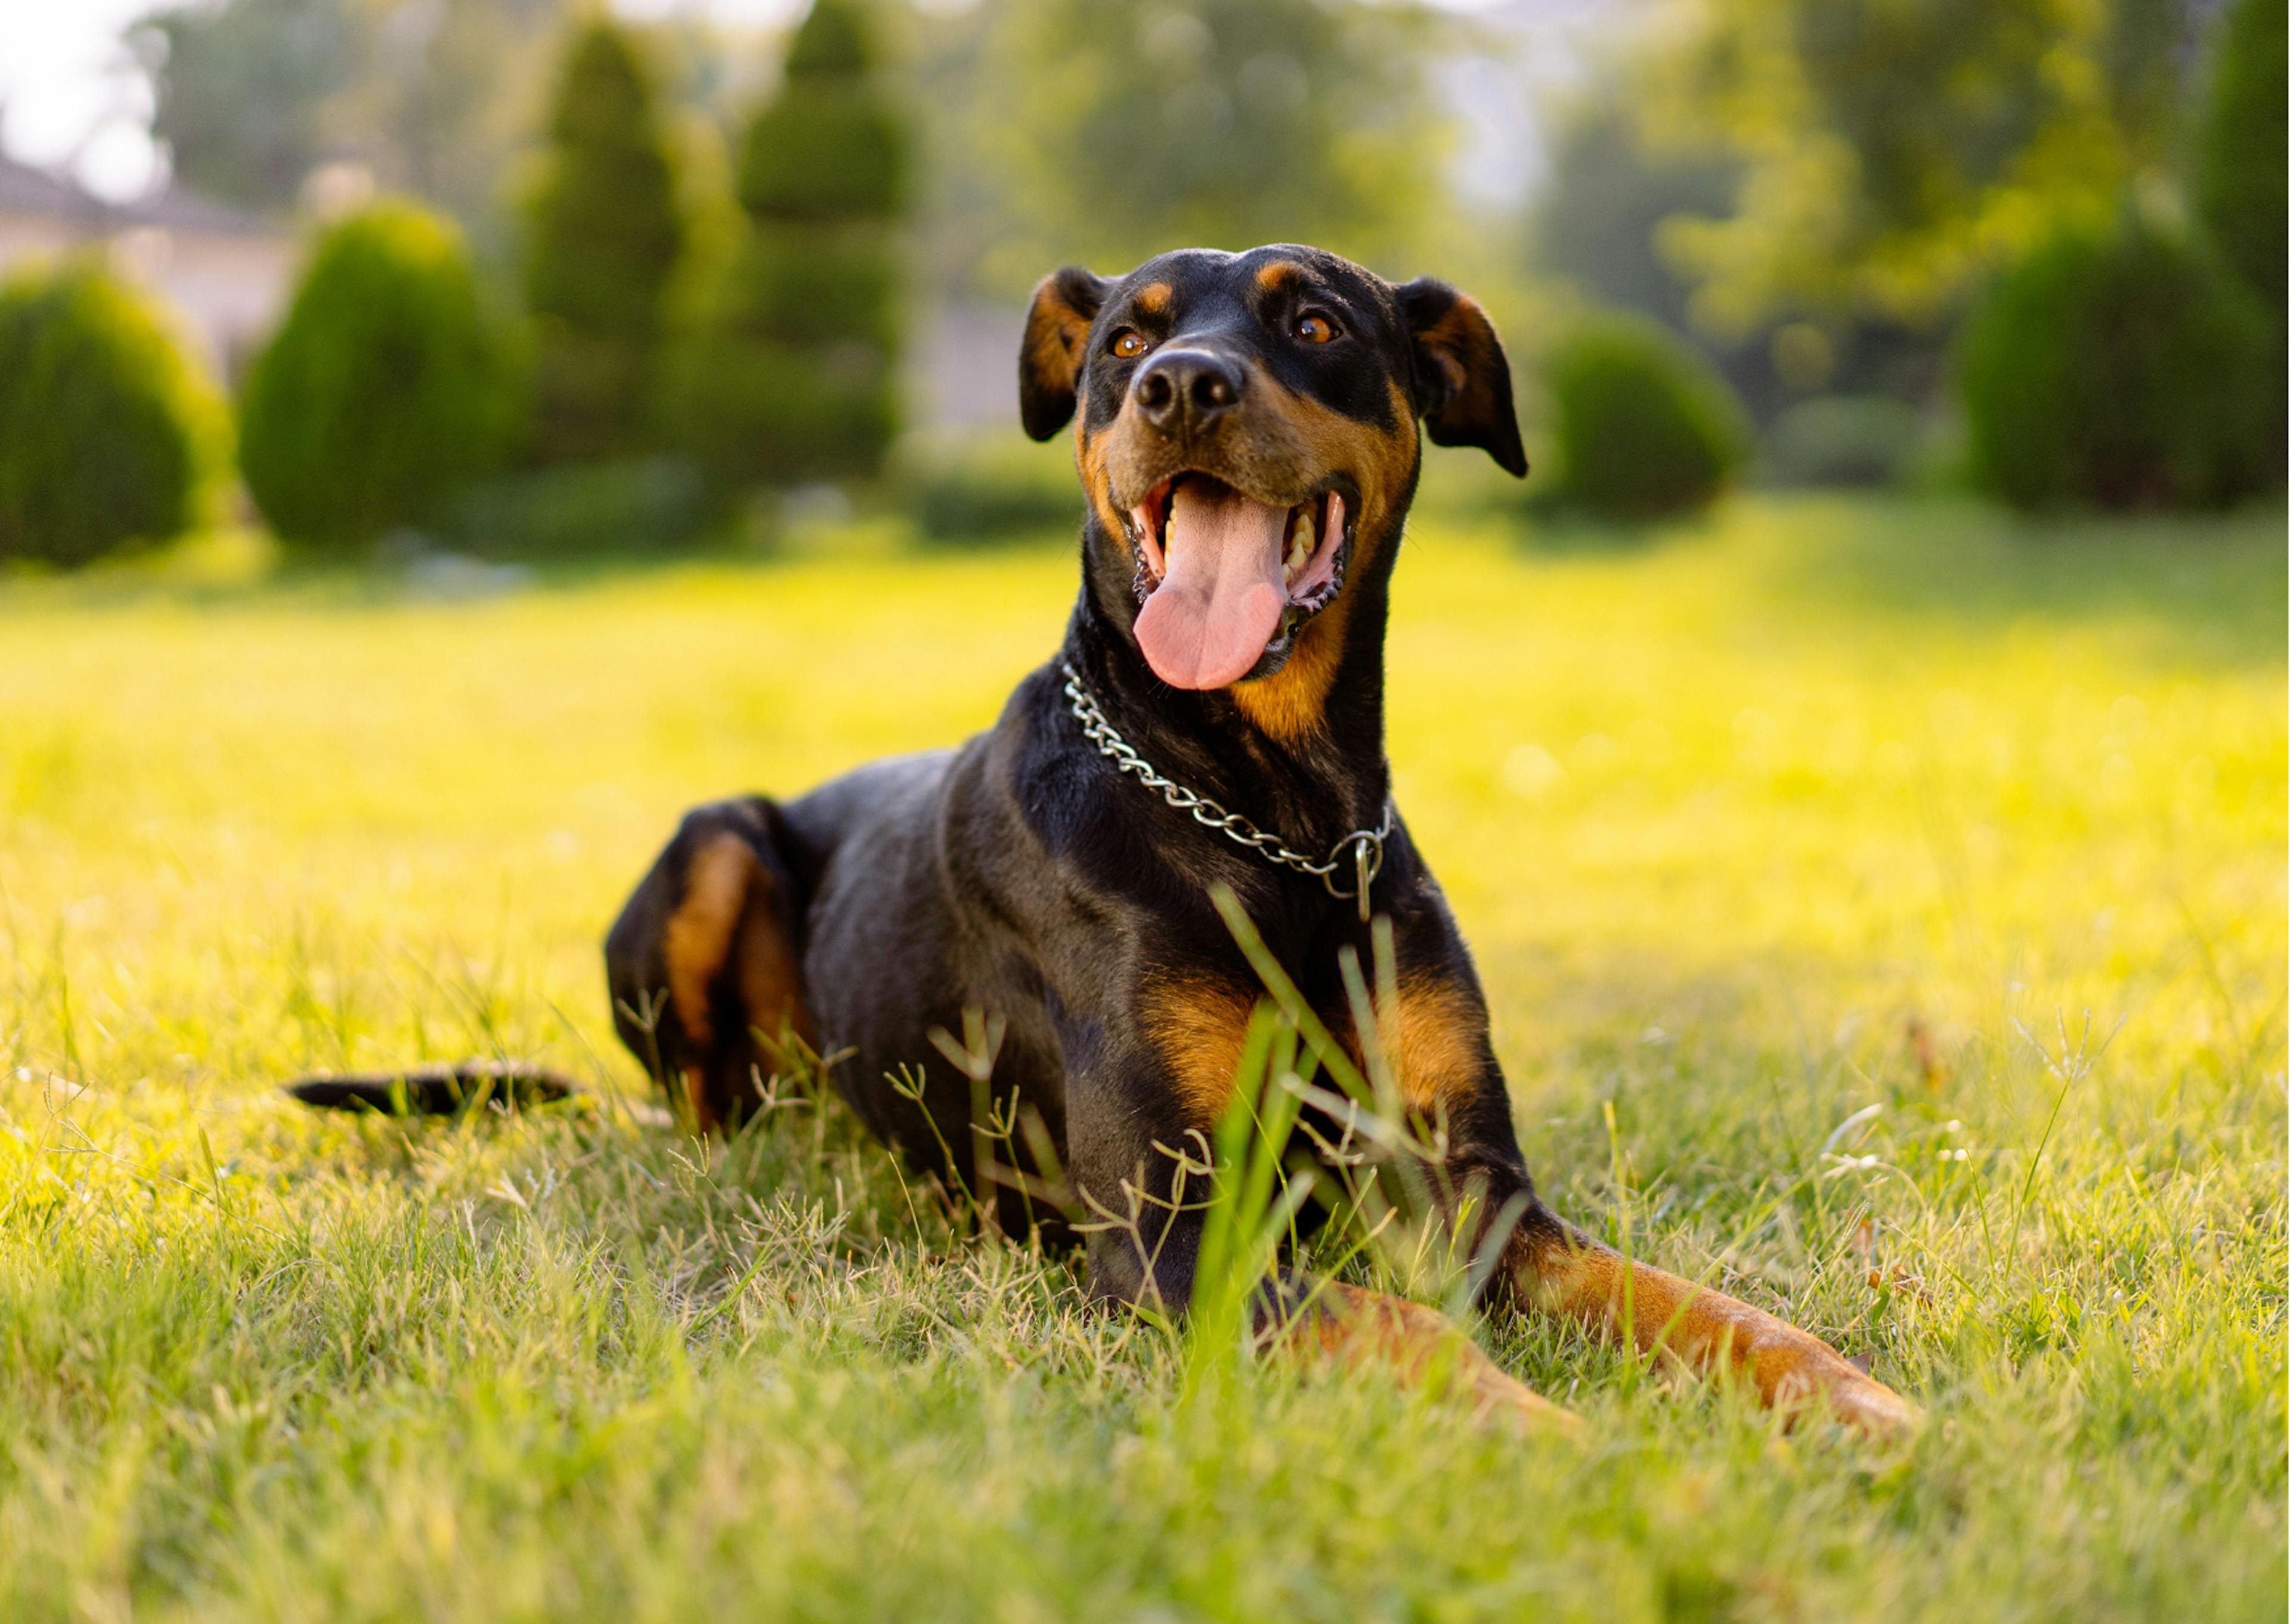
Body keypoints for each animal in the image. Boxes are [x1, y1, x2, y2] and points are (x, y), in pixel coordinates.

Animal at [309, 240, 1914, 1429]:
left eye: (1317, 321)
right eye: (1119, 348)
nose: (1182, 386)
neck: (1272, 820)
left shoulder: (1476, 1193)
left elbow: (1695, 1301)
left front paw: (1848, 1398)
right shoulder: (1172, 1235)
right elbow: (1410, 1334)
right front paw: (1550, 1440)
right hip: (714, 847)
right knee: (714, 1107)